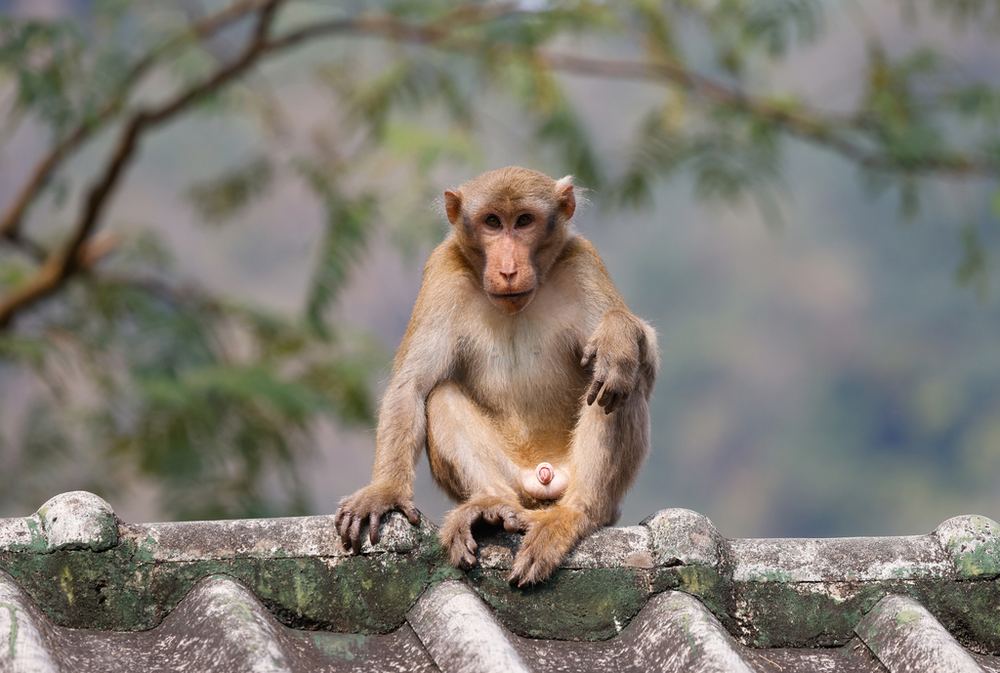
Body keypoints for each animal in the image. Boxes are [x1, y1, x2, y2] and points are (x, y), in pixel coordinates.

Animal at [334, 166, 658, 586]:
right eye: (492, 222)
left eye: (523, 221)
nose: (507, 269)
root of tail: (542, 475)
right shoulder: (443, 271)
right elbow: (412, 387)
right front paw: (385, 491)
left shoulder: (582, 261)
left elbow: (644, 363)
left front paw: (617, 336)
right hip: (515, 481)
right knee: (440, 395)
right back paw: (490, 506)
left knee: (620, 385)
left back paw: (574, 515)